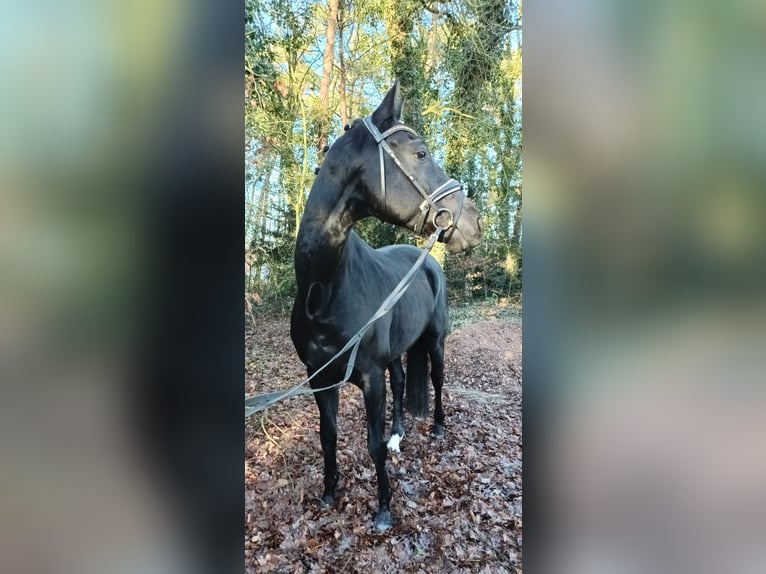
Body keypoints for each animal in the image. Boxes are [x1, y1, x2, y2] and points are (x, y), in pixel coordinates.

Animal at [292, 80, 484, 532]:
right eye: (421, 154)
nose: (475, 222)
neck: (323, 290)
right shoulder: (318, 377)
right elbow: (328, 436)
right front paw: (329, 493)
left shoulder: (369, 376)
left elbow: (373, 444)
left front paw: (382, 509)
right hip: (397, 351)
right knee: (401, 381)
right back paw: (400, 433)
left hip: (435, 343)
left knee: (436, 380)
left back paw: (436, 429)